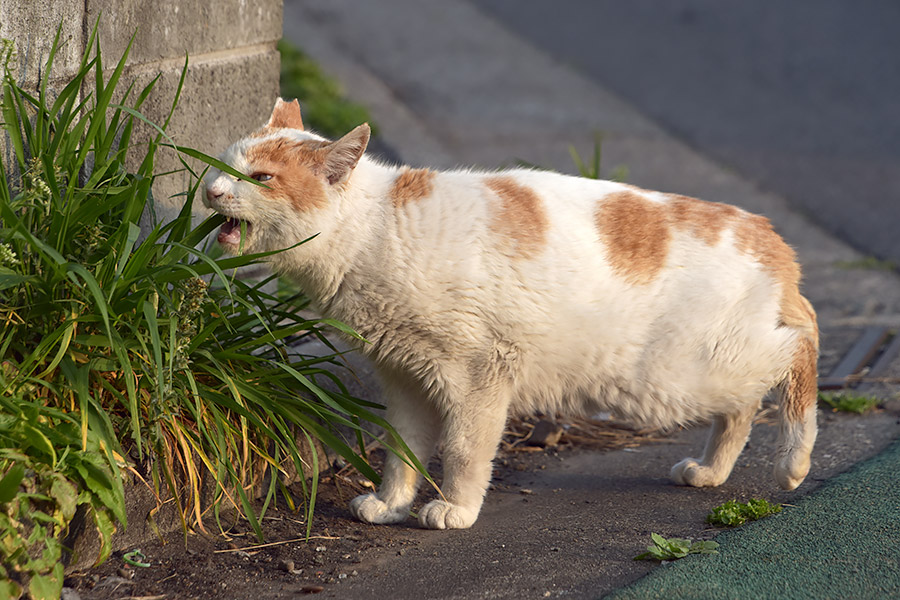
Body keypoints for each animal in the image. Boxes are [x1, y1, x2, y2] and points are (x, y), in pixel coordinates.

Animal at [202, 98, 816, 528]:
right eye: (225, 164)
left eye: (261, 179)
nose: (210, 189)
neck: (378, 230)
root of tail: (771, 235)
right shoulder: (405, 378)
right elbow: (402, 450)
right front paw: (391, 503)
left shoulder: (479, 373)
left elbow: (463, 449)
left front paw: (455, 509)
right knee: (742, 408)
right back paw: (711, 472)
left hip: (685, 373)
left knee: (797, 349)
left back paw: (794, 462)